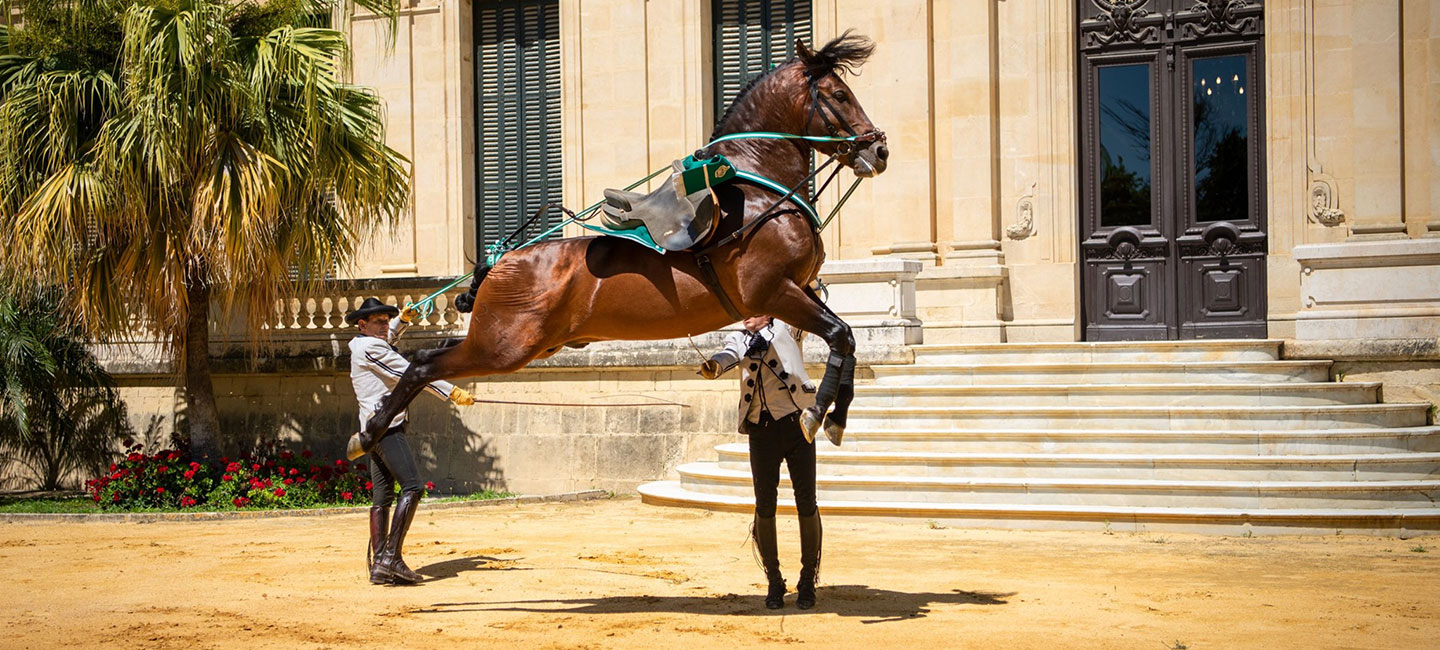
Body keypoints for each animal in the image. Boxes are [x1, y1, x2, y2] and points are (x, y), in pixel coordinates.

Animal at [354, 31, 881, 458]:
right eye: (839, 94)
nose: (880, 149)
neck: (756, 193)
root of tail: (500, 259)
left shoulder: (799, 290)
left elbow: (849, 338)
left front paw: (833, 419)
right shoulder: (775, 291)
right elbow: (840, 336)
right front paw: (817, 414)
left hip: (512, 343)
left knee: (431, 354)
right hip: (504, 348)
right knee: (422, 364)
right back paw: (368, 432)